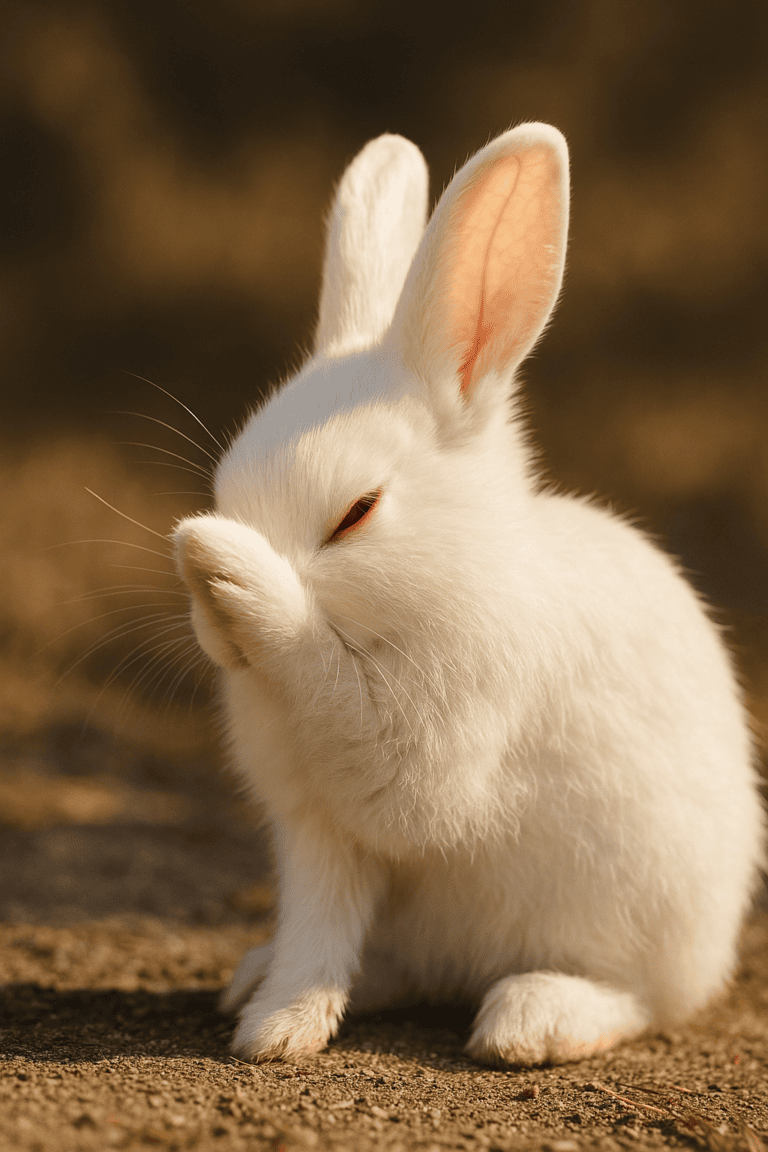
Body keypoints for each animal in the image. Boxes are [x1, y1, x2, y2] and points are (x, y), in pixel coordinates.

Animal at [173, 123, 765, 1065]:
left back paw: (533, 1018)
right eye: (227, 486)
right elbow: (315, 933)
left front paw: (227, 567)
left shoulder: (422, 751)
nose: (213, 627)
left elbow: (364, 732)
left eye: (357, 513)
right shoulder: (316, 832)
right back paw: (260, 978)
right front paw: (277, 1028)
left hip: (640, 913)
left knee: (643, 998)